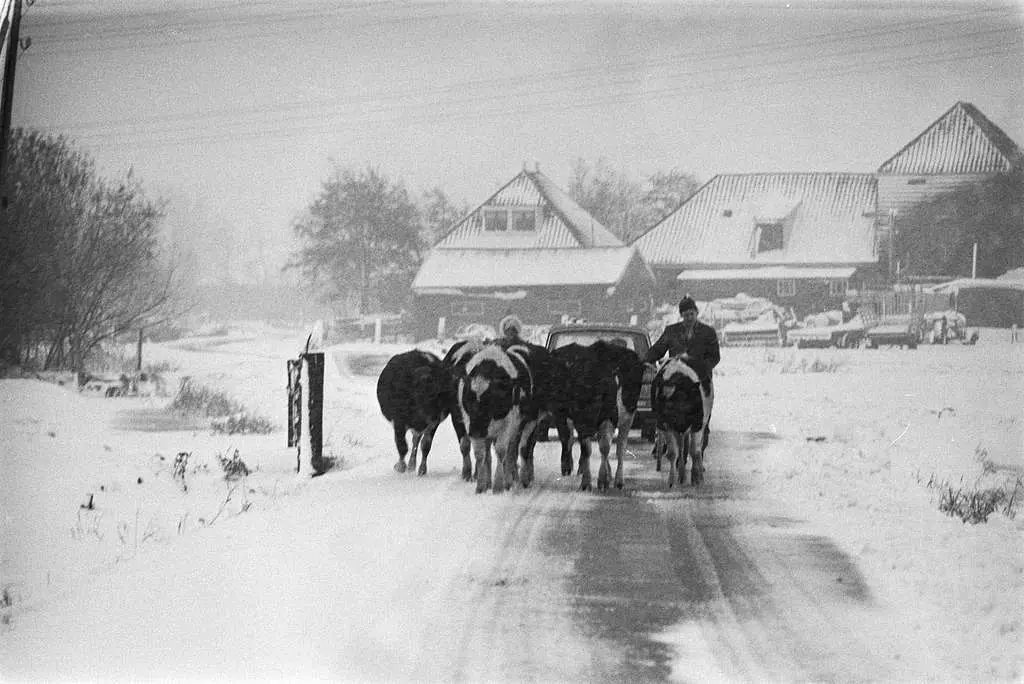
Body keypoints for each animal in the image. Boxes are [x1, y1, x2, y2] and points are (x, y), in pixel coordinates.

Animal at [462, 339, 565, 491]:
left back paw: (522, 478)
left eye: (491, 399)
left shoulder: (508, 424)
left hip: (529, 422)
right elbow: (481, 455)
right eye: (469, 398)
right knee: (510, 451)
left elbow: (502, 451)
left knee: (522, 449)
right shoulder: (471, 422)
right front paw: (481, 486)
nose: (475, 431)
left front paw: (498, 486)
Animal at [548, 342, 643, 491]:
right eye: (577, 395)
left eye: (601, 396)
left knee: (620, 447)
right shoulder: (578, 420)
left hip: (628, 417)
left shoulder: (610, 417)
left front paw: (603, 479)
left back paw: (618, 479)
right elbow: (586, 449)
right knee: (569, 438)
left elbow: (605, 447)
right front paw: (586, 482)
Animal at [655, 356, 712, 489]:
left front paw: (698, 480)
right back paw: (681, 476)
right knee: (681, 448)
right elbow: (672, 453)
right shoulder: (666, 425)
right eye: (663, 399)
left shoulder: (698, 423)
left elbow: (695, 451)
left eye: (684, 399)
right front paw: (671, 481)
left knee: (694, 448)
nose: (665, 414)